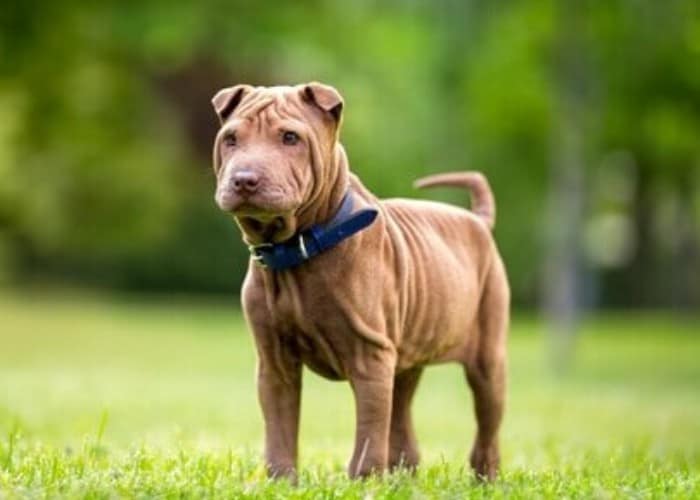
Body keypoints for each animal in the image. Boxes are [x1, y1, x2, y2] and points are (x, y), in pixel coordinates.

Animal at [208, 82, 508, 480]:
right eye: (231, 139)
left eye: (290, 138)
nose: (244, 179)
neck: (297, 249)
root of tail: (478, 221)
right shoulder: (274, 362)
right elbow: (280, 427)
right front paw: (280, 481)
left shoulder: (370, 357)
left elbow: (369, 431)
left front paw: (363, 482)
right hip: (406, 358)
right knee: (402, 417)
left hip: (487, 357)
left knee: (486, 425)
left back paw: (484, 479)